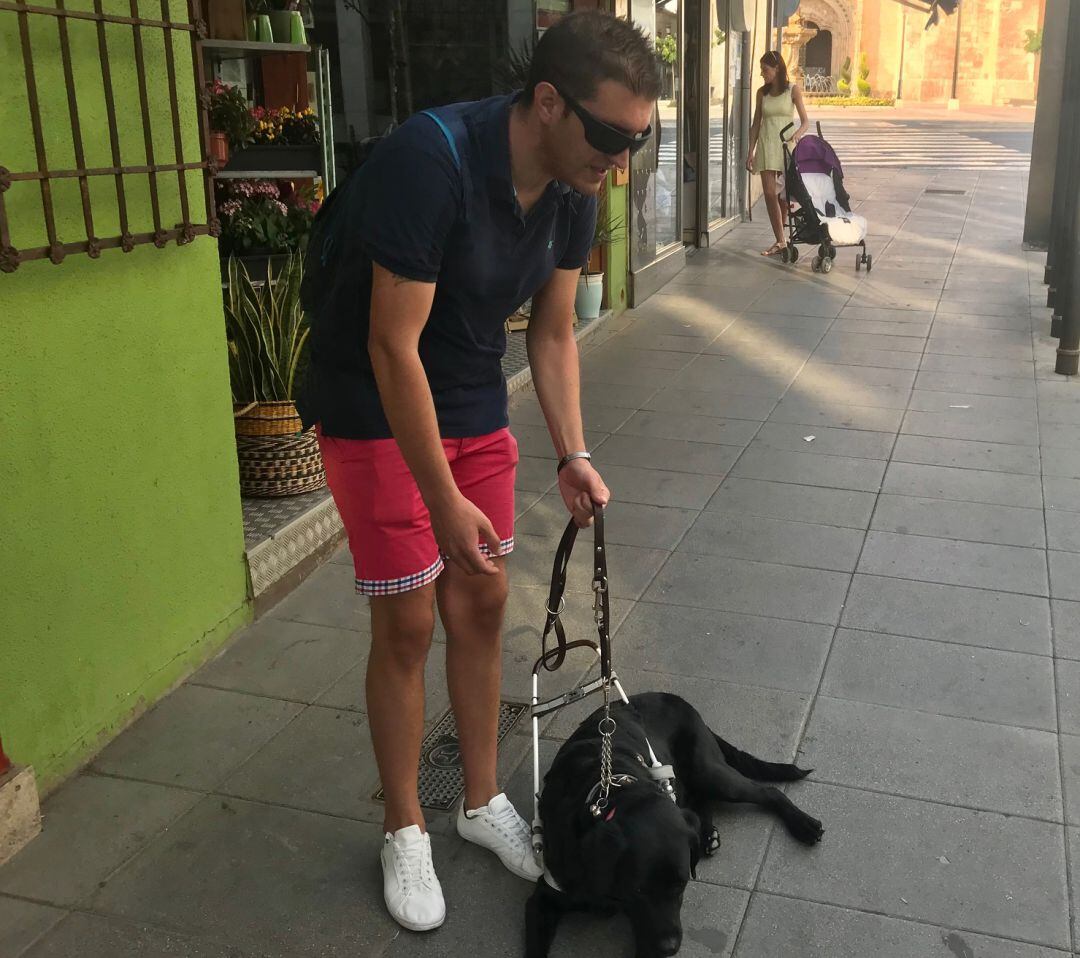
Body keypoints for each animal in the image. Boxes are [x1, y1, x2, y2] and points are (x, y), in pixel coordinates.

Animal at [527, 691, 820, 958]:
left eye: (681, 885)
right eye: (637, 890)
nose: (669, 948)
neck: (608, 795)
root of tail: (675, 697)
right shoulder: (544, 897)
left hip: (709, 771)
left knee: (767, 792)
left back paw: (804, 825)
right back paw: (708, 835)